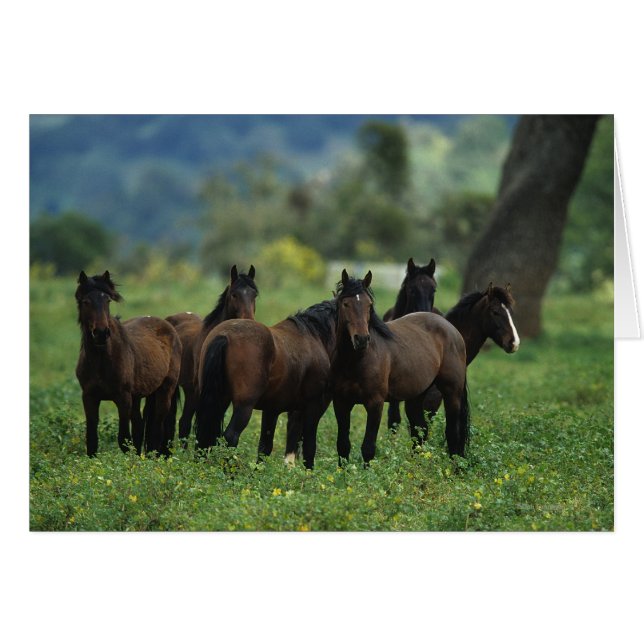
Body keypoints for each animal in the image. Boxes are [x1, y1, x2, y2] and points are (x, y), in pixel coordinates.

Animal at [75, 271, 181, 456]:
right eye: (86, 301)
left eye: (107, 300)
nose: (101, 333)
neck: (101, 360)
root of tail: (169, 327)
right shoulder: (89, 397)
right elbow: (92, 441)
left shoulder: (123, 398)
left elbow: (124, 439)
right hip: (137, 396)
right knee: (140, 425)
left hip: (165, 389)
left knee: (157, 427)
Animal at [165, 265, 258, 447]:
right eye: (234, 294)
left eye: (254, 294)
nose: (248, 321)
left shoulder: (223, 395)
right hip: (189, 390)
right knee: (183, 422)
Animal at [195, 299, 336, 469]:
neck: (314, 336)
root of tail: (224, 336)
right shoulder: (312, 406)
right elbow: (309, 445)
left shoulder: (272, 409)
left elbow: (265, 446)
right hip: (244, 406)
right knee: (231, 436)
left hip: (219, 399)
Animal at [331, 269, 470, 464]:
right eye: (345, 304)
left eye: (369, 305)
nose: (362, 339)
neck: (355, 361)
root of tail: (452, 329)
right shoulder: (341, 403)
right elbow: (343, 446)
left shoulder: (375, 404)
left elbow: (368, 448)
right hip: (416, 397)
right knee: (420, 431)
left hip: (452, 393)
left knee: (452, 434)